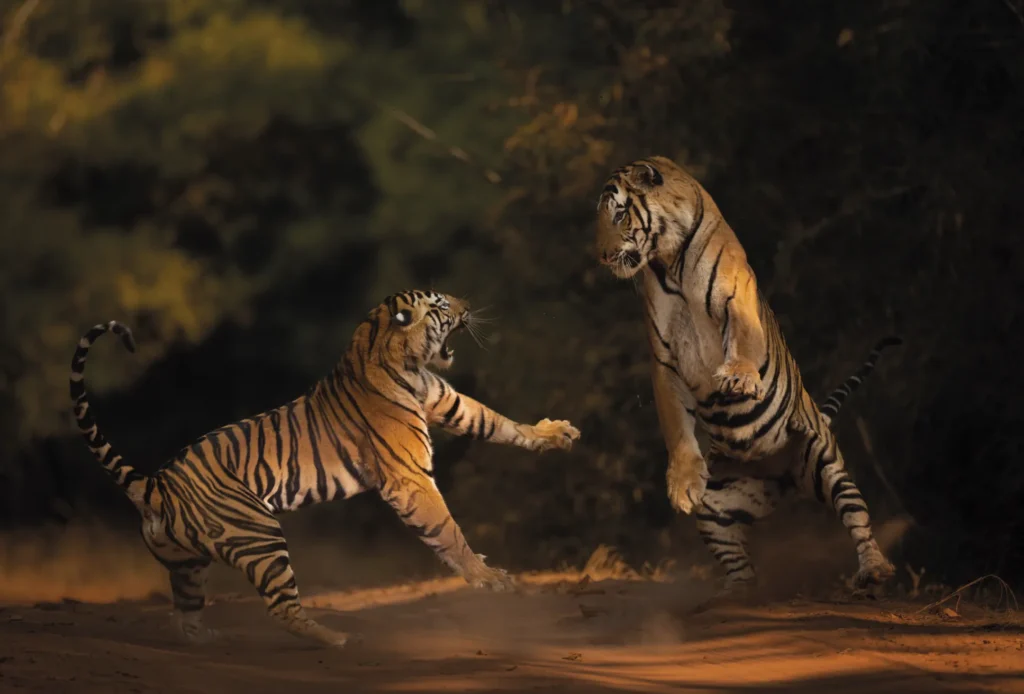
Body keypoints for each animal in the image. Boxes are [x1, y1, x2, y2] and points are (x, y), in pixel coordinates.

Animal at [69, 290, 581, 647]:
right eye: (440, 305)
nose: (468, 305)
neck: (407, 362)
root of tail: (155, 485)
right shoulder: (410, 477)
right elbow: (448, 530)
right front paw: (489, 579)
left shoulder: (449, 403)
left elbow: (498, 422)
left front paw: (556, 433)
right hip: (261, 536)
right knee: (281, 608)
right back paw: (336, 638)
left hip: (188, 566)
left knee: (185, 615)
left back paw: (211, 639)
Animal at [595, 155, 898, 592]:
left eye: (619, 213)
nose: (602, 256)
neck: (669, 264)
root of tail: (781, 478)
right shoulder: (664, 358)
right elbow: (675, 427)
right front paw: (682, 485)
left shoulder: (737, 301)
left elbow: (740, 341)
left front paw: (737, 377)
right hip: (716, 510)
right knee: (738, 561)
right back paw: (738, 592)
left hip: (826, 462)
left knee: (857, 517)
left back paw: (874, 569)